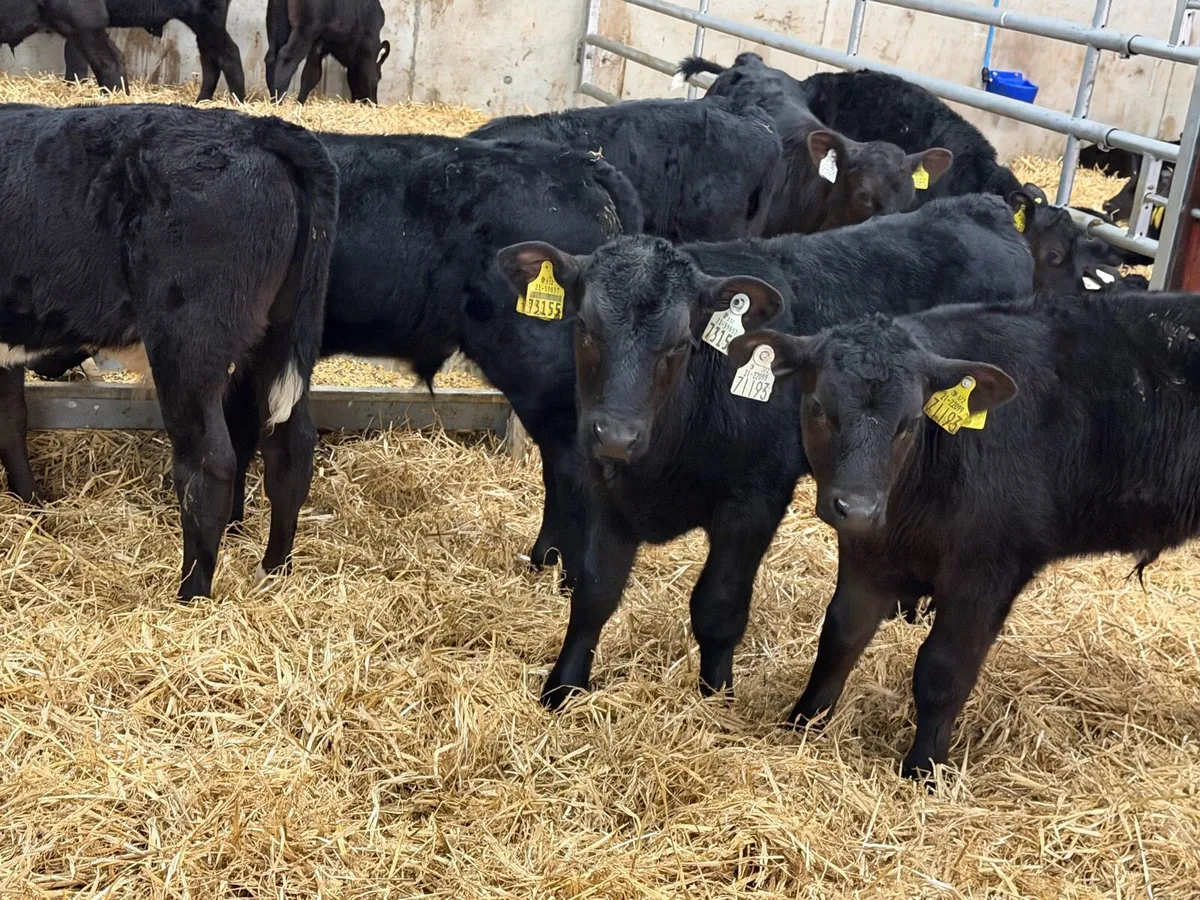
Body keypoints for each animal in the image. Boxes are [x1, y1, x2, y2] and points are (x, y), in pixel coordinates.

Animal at [0, 103, 338, 602]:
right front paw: (32, 506)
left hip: (186, 343)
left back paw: (190, 595)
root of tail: (258, 128)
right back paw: (273, 571)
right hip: (278, 339)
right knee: (290, 448)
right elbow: (12, 421)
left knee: (208, 463)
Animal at [62, 0, 245, 101]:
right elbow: (73, 54)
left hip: (206, 17)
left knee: (229, 53)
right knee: (209, 58)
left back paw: (237, 101)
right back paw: (202, 101)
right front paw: (72, 84)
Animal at [220, 133, 642, 591]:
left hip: (541, 372)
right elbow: (239, 432)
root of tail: (582, 163)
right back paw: (544, 559)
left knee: (572, 470)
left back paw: (565, 575)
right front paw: (231, 526)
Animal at [493, 194, 1033, 712]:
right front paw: (562, 688)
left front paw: (716, 697)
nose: (617, 435)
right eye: (585, 328)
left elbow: (718, 606)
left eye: (680, 343)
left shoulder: (755, 501)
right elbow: (594, 592)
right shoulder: (605, 486)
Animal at [730, 289, 1200, 777]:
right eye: (820, 408)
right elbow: (840, 636)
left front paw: (923, 770)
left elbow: (944, 670)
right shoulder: (869, 554)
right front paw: (802, 724)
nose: (857, 508)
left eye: (910, 423)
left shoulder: (987, 571)